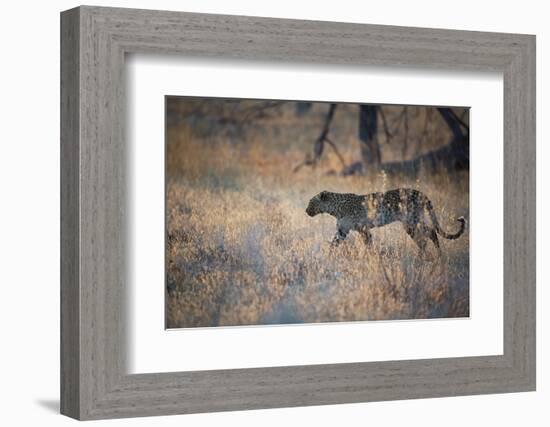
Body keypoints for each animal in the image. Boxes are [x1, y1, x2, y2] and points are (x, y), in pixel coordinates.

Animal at [306, 188, 466, 258]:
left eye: (311, 202)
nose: (306, 211)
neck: (334, 209)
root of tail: (420, 193)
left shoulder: (362, 229)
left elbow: (368, 244)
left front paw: (371, 257)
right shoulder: (342, 231)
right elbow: (334, 244)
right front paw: (328, 257)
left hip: (411, 221)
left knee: (426, 237)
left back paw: (425, 257)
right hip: (413, 221)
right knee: (429, 234)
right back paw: (434, 256)